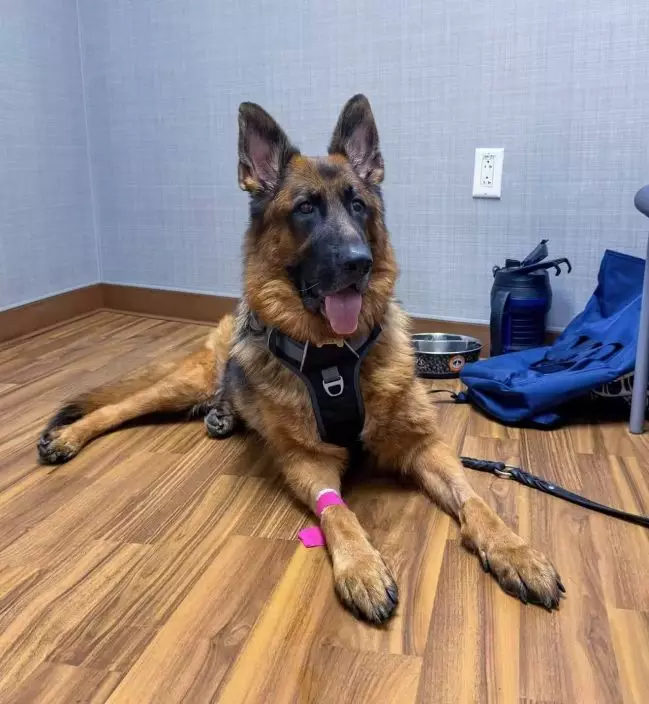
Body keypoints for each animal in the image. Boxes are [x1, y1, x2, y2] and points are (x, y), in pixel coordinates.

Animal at [38, 95, 564, 623]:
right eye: (306, 209)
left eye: (358, 206)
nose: (359, 263)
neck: (335, 357)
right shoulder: (306, 461)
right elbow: (339, 511)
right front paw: (361, 567)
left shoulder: (425, 446)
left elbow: (477, 500)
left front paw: (514, 551)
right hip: (184, 384)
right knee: (117, 407)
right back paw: (67, 437)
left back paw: (222, 416)